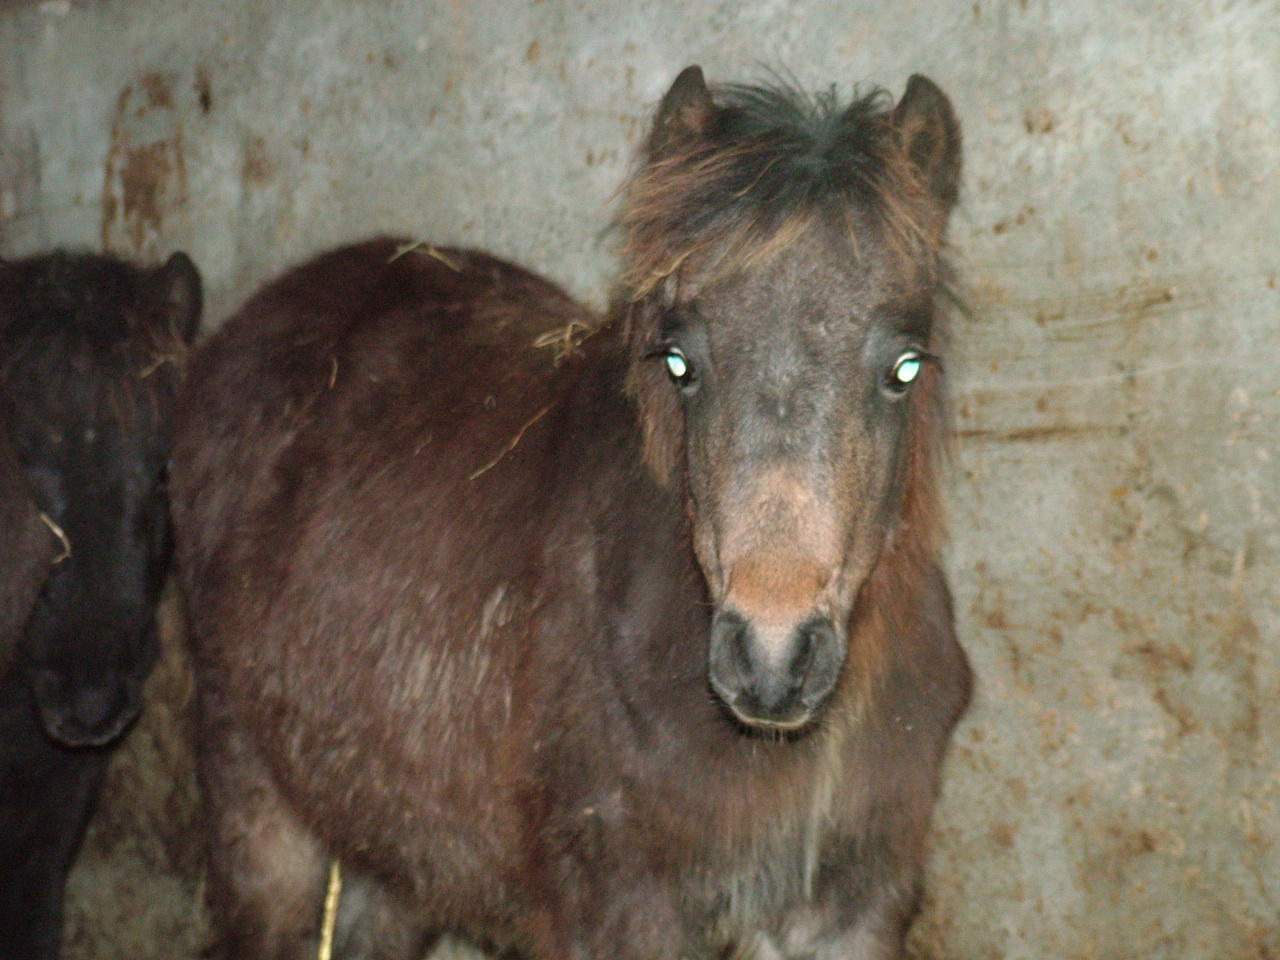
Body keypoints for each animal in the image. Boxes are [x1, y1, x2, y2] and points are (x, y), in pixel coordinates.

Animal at [171, 66, 972, 960]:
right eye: (679, 361)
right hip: (256, 809)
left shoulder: (851, 913)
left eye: (906, 366)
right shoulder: (617, 913)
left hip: (394, 846)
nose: (771, 658)